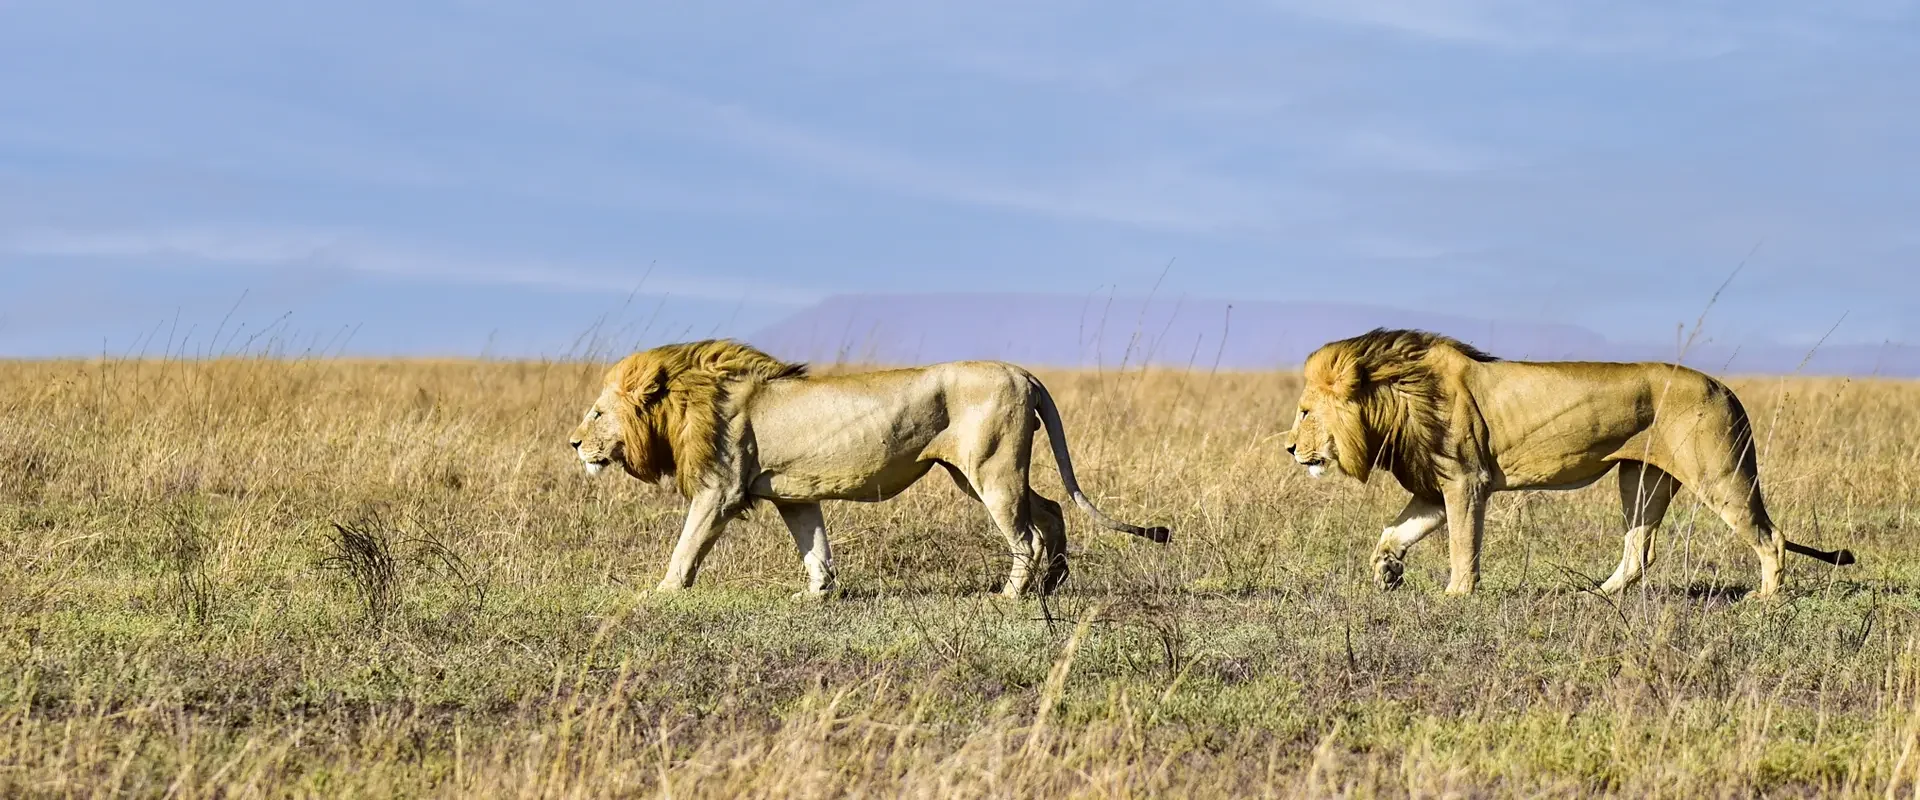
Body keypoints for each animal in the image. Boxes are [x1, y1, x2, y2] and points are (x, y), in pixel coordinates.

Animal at [569, 340, 1171, 598]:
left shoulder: (720, 490)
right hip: (980, 475)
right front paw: (817, 595)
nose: (573, 443)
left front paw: (663, 592)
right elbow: (815, 548)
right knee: (1049, 511)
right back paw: (1055, 581)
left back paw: (1012, 595)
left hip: (991, 470)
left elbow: (687, 543)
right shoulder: (794, 494)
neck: (690, 399)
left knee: (1025, 535)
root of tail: (1022, 371)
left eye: (597, 412)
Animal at [1283, 328, 1856, 598]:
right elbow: (1393, 531)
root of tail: (1726, 389)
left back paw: (1766, 600)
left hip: (1719, 474)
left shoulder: (1466, 481)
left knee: (1771, 536)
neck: (1398, 394)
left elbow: (1462, 546)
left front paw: (1456, 594)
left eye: (1306, 411)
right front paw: (1387, 571)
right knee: (1640, 550)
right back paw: (1594, 595)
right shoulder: (1434, 487)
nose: (1289, 449)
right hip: (1642, 479)